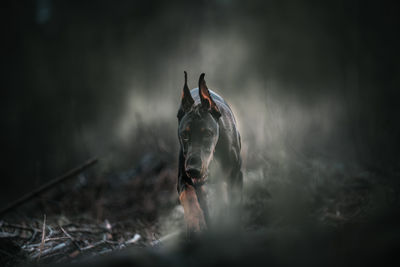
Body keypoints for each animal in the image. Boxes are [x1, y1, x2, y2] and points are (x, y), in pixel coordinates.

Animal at [177, 71, 244, 237]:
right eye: (185, 135)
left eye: (207, 133)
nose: (193, 169)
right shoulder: (183, 176)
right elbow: (188, 194)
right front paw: (195, 223)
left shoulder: (236, 174)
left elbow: (234, 202)